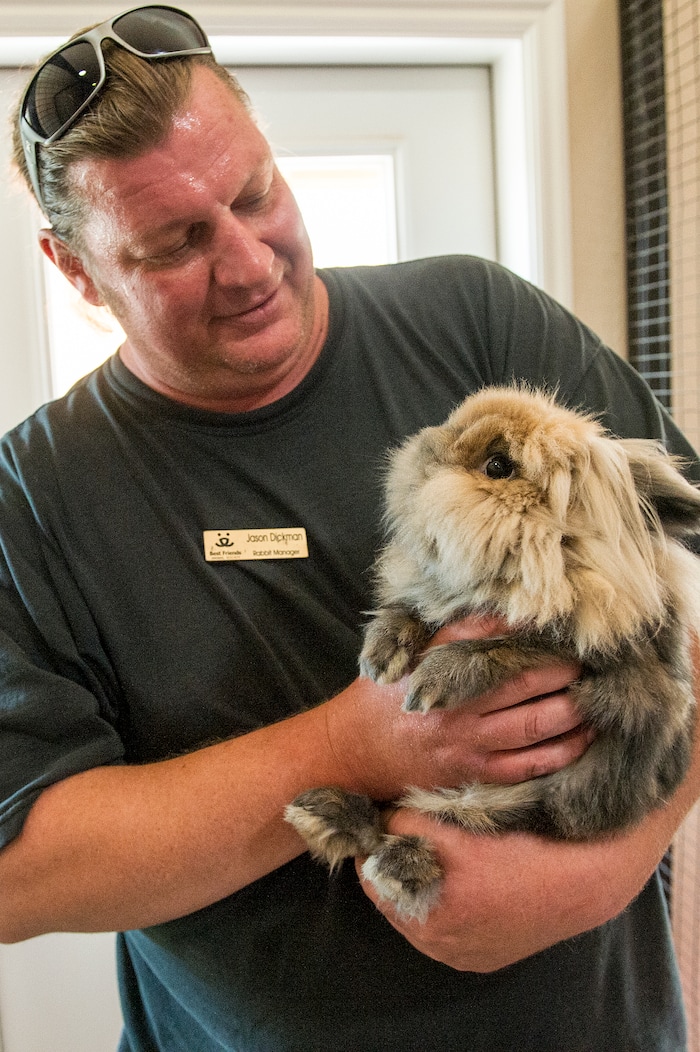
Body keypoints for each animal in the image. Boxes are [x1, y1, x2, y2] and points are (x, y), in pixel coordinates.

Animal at [285, 385, 700, 921]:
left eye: (498, 465)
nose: (424, 449)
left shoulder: (618, 669)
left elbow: (522, 643)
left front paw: (433, 682)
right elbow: (416, 608)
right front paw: (382, 654)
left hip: (561, 798)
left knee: (457, 817)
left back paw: (397, 864)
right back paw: (326, 814)